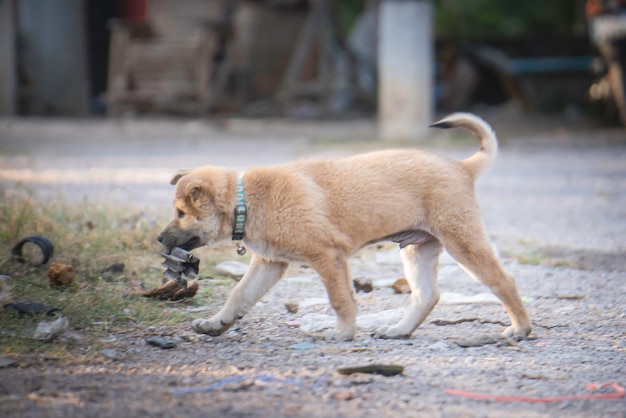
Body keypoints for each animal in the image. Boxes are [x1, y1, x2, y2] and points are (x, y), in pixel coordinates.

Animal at [157, 112, 532, 342]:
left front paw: (343, 332)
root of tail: (461, 167)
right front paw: (215, 324)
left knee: (503, 281)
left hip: (462, 241)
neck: (246, 201)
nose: (160, 238)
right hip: (417, 249)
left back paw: (521, 328)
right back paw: (399, 330)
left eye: (180, 212)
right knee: (427, 295)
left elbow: (340, 299)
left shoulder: (328, 257)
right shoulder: (270, 263)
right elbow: (239, 295)